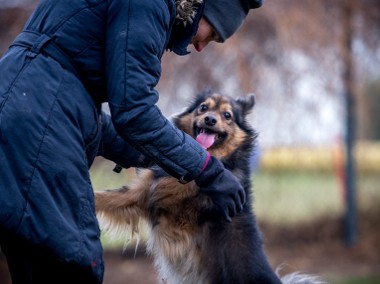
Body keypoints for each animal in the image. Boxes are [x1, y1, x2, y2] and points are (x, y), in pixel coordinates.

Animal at [95, 90, 324, 282]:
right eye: (203, 107)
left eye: (227, 115)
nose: (210, 119)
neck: (217, 159)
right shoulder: (140, 192)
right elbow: (104, 196)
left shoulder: (172, 215)